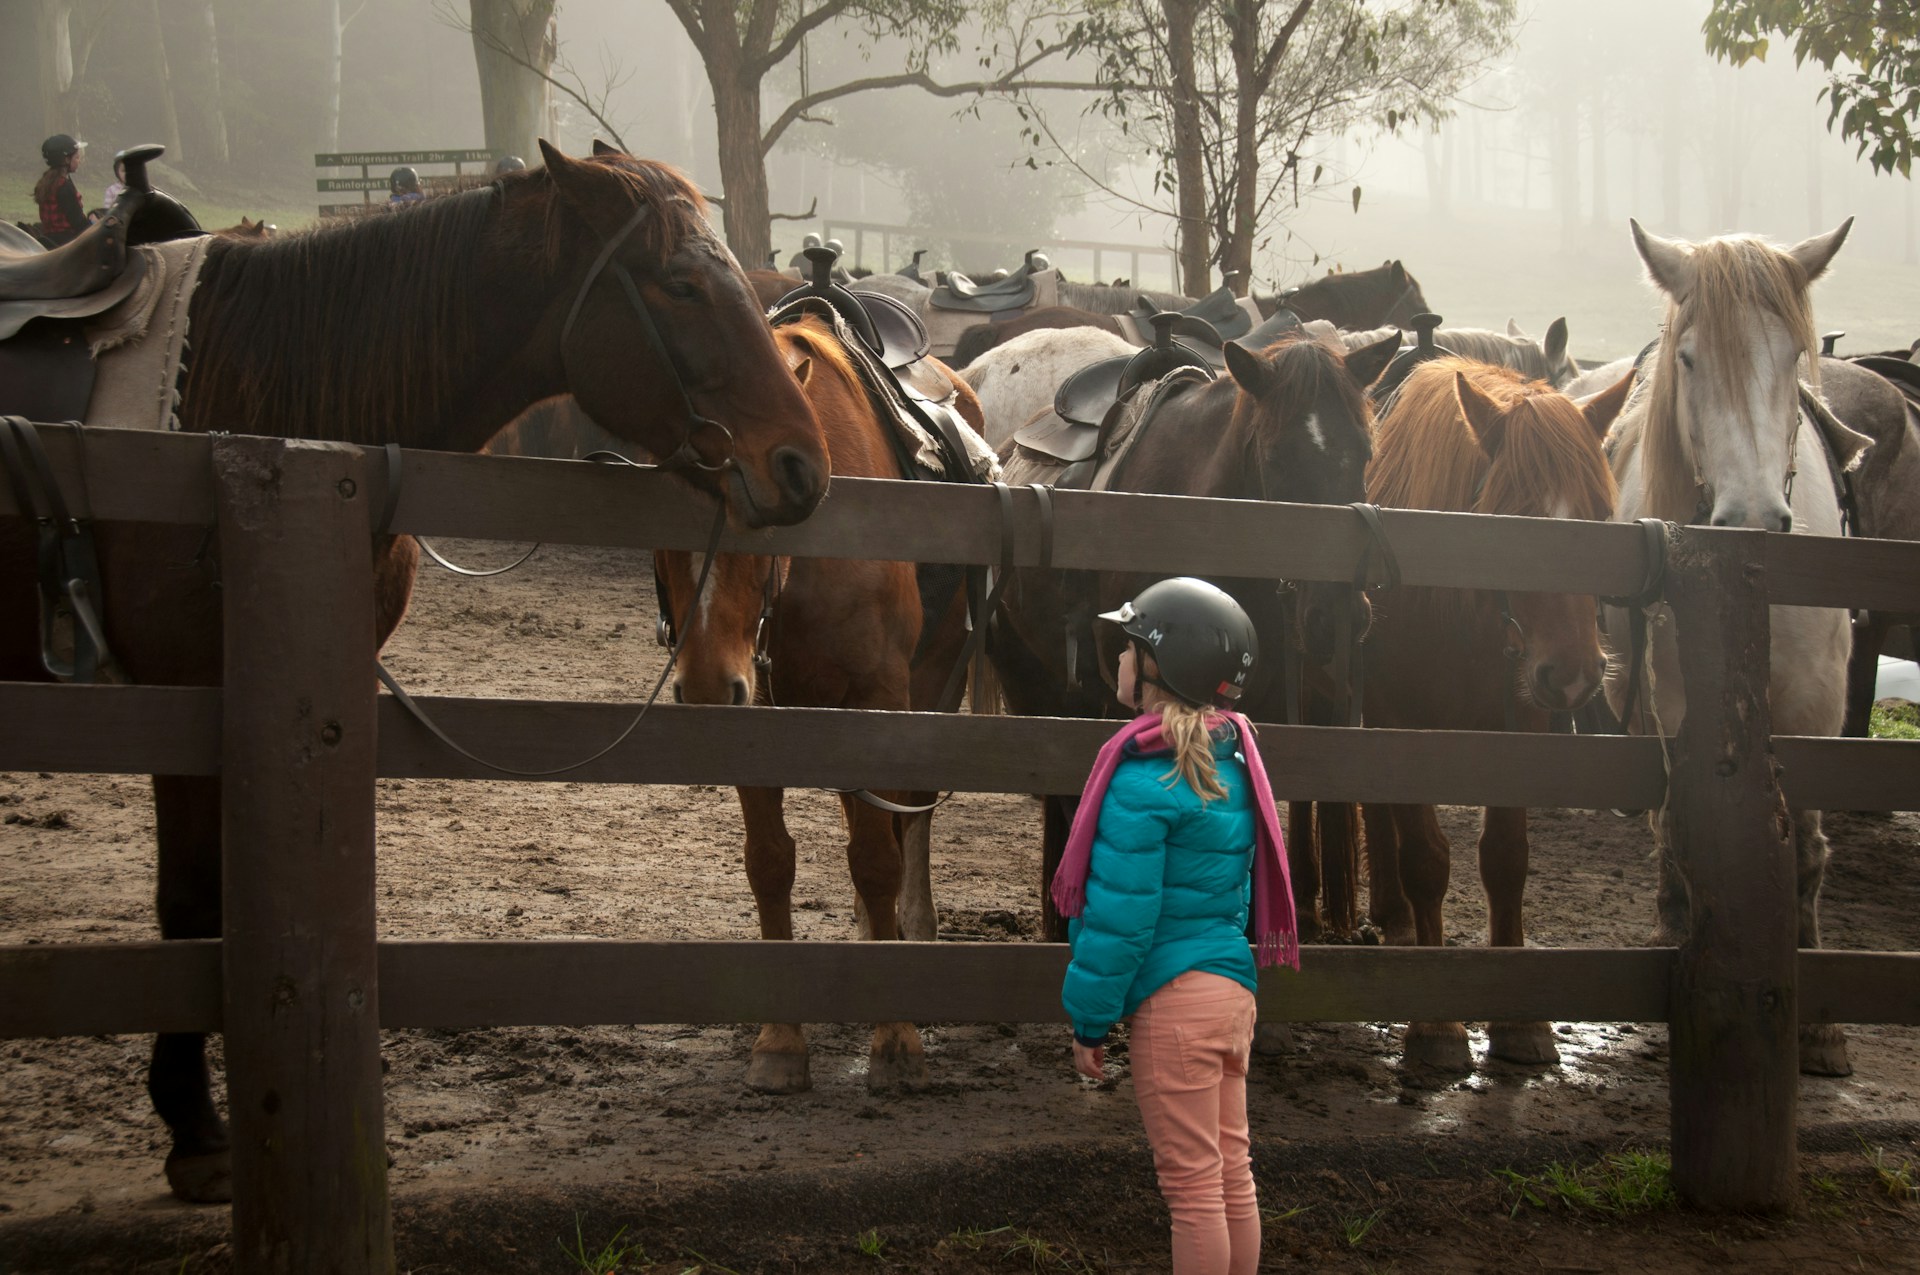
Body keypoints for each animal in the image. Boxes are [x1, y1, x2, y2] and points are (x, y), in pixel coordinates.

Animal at [0, 142, 828, 1203]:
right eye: (681, 284)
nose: (802, 466)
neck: (253, 411)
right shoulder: (183, 698)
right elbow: (188, 906)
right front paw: (194, 1128)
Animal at [652, 313, 978, 1094]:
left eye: (763, 514)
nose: (706, 688)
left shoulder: (879, 701)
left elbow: (878, 859)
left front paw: (896, 1037)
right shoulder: (762, 716)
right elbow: (770, 863)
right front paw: (780, 1040)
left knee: (907, 821)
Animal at [1336, 358, 1631, 1070]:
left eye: (1603, 516)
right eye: (1510, 519)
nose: (1574, 673)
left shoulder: (1519, 729)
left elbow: (1505, 859)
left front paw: (1520, 1023)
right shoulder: (1402, 728)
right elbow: (1425, 859)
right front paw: (1436, 1027)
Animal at [1604, 217, 1858, 1075]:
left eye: (1791, 354)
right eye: (1689, 358)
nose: (1751, 516)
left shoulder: (1818, 709)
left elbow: (1806, 849)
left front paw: (1820, 1028)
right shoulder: (1682, 705)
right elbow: (1686, 826)